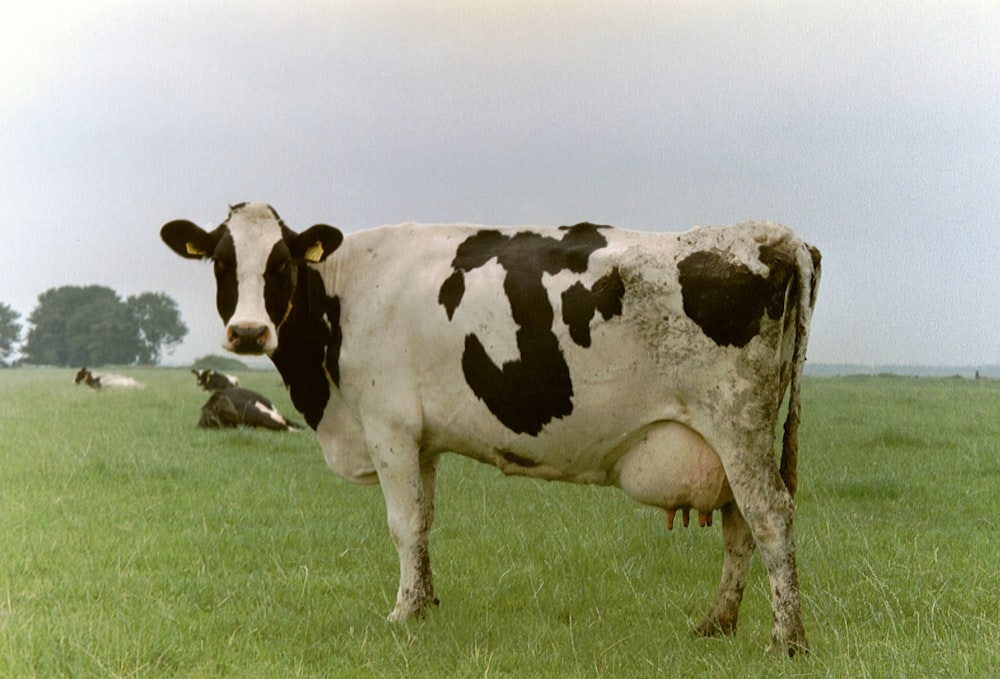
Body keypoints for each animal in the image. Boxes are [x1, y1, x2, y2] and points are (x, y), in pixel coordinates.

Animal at [162, 202, 820, 660]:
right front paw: (425, 604)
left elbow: (402, 525)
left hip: (736, 424)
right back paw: (718, 624)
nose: (249, 332)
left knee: (769, 517)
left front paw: (401, 615)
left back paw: (785, 640)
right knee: (739, 526)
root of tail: (768, 234)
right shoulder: (422, 440)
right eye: (222, 263)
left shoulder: (389, 427)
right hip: (730, 438)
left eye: (280, 264)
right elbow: (424, 523)